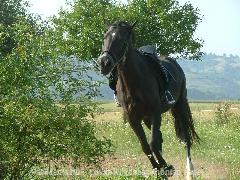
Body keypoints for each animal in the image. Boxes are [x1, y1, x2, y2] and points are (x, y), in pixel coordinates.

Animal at [97, 21, 199, 177]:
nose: (104, 63)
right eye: (104, 38)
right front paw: (159, 169)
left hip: (179, 106)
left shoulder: (155, 112)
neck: (134, 82)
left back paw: (189, 171)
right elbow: (146, 146)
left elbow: (153, 143)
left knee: (186, 139)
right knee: (160, 138)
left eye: (123, 41)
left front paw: (167, 167)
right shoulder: (133, 118)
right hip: (146, 118)